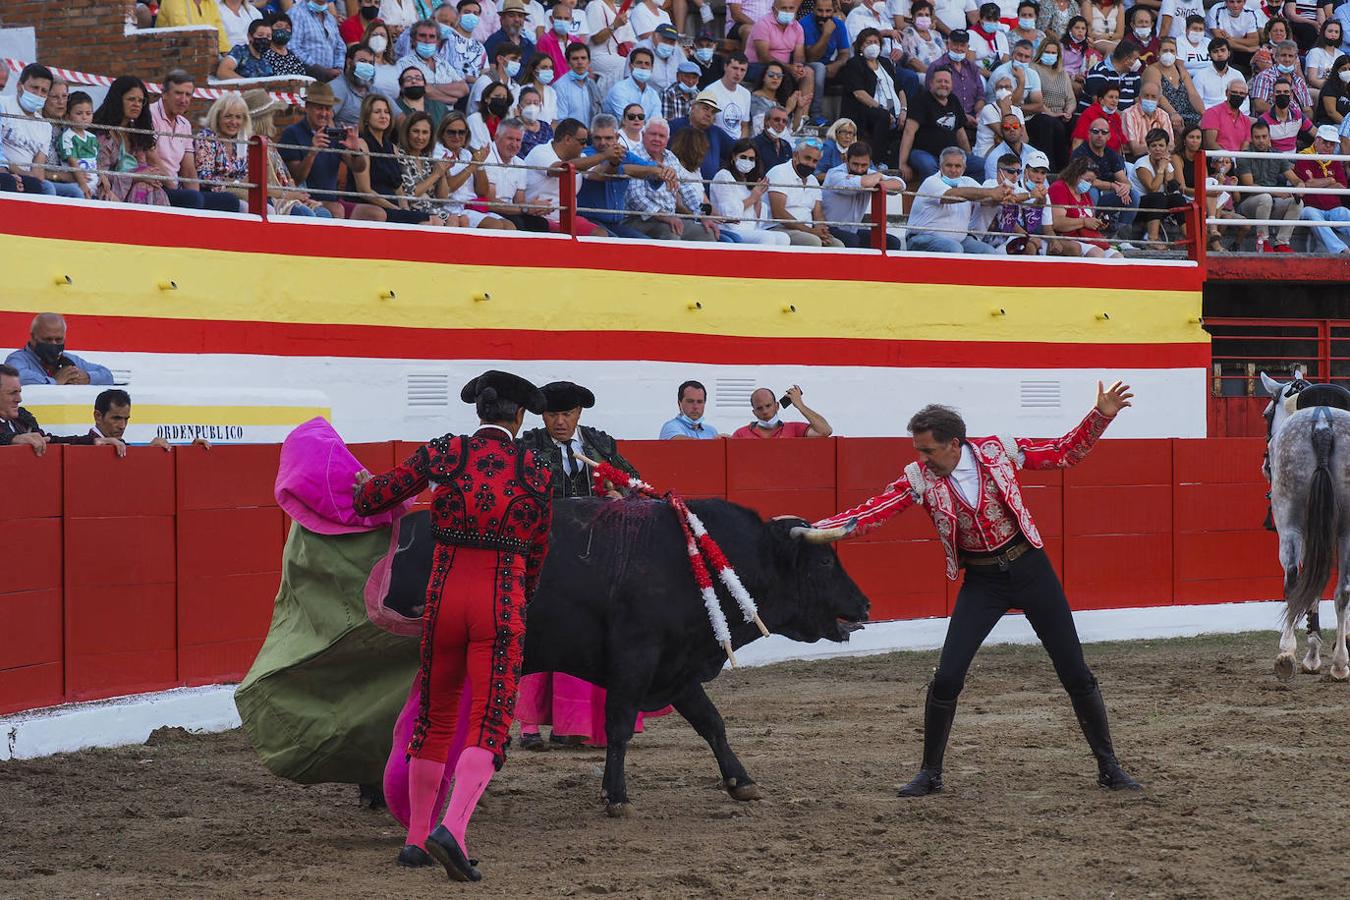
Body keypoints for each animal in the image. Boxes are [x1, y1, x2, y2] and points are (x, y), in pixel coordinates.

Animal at [386, 496, 869, 814]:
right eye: (824, 562)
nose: (864, 605)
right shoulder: (635, 658)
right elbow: (618, 726)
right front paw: (614, 796)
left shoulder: (677, 667)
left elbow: (711, 722)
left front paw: (741, 781)